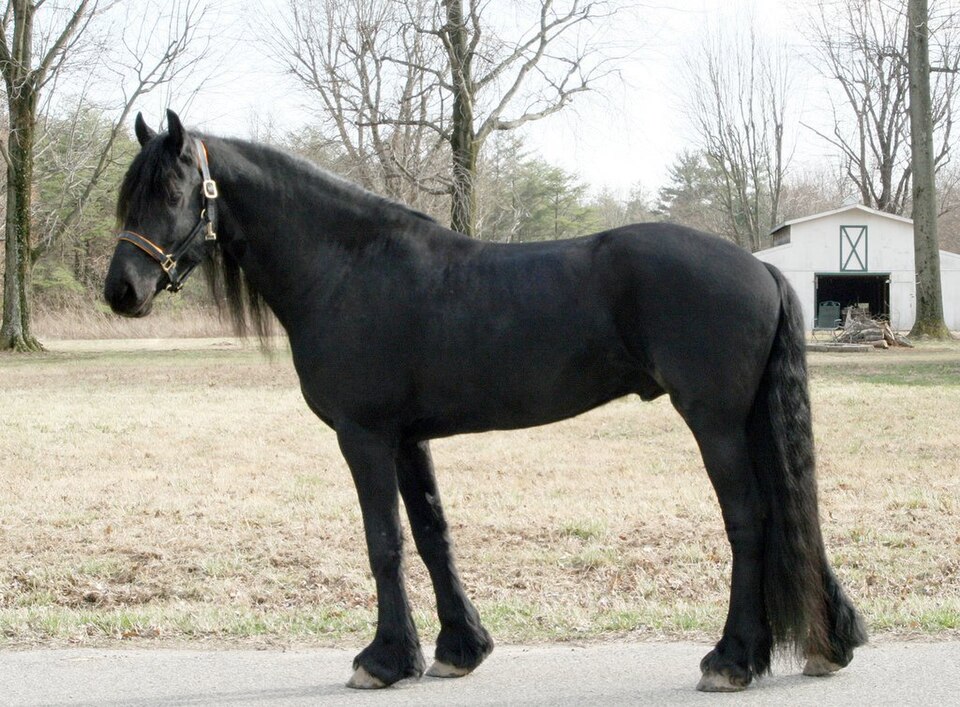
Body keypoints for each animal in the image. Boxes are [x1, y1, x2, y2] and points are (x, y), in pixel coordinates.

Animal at [104, 110, 867, 692]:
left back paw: (730, 660)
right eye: (129, 195)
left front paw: (382, 660)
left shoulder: (364, 436)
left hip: (715, 421)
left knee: (751, 520)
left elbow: (384, 542)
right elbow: (432, 534)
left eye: (171, 191)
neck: (347, 267)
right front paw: (456, 649)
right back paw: (829, 643)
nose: (121, 291)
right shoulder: (407, 438)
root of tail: (761, 268)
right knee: (793, 513)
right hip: (747, 421)